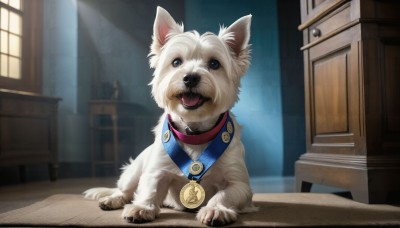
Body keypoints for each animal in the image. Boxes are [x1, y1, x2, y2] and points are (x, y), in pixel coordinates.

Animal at [84, 5, 256, 226]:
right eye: (176, 62)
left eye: (214, 64)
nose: (190, 77)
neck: (194, 132)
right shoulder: (156, 171)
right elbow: (149, 188)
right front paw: (142, 207)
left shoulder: (239, 183)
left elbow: (224, 195)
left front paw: (216, 209)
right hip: (136, 167)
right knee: (125, 189)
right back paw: (113, 199)